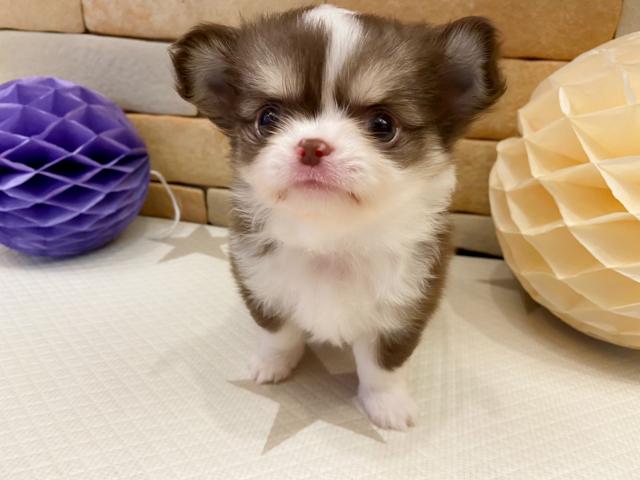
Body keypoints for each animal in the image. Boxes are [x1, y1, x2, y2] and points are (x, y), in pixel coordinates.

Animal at [171, 4, 504, 430]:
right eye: (267, 118)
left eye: (382, 124)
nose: (312, 146)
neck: (330, 240)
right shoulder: (262, 285)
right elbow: (279, 334)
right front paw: (271, 365)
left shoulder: (405, 307)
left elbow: (382, 366)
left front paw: (387, 407)